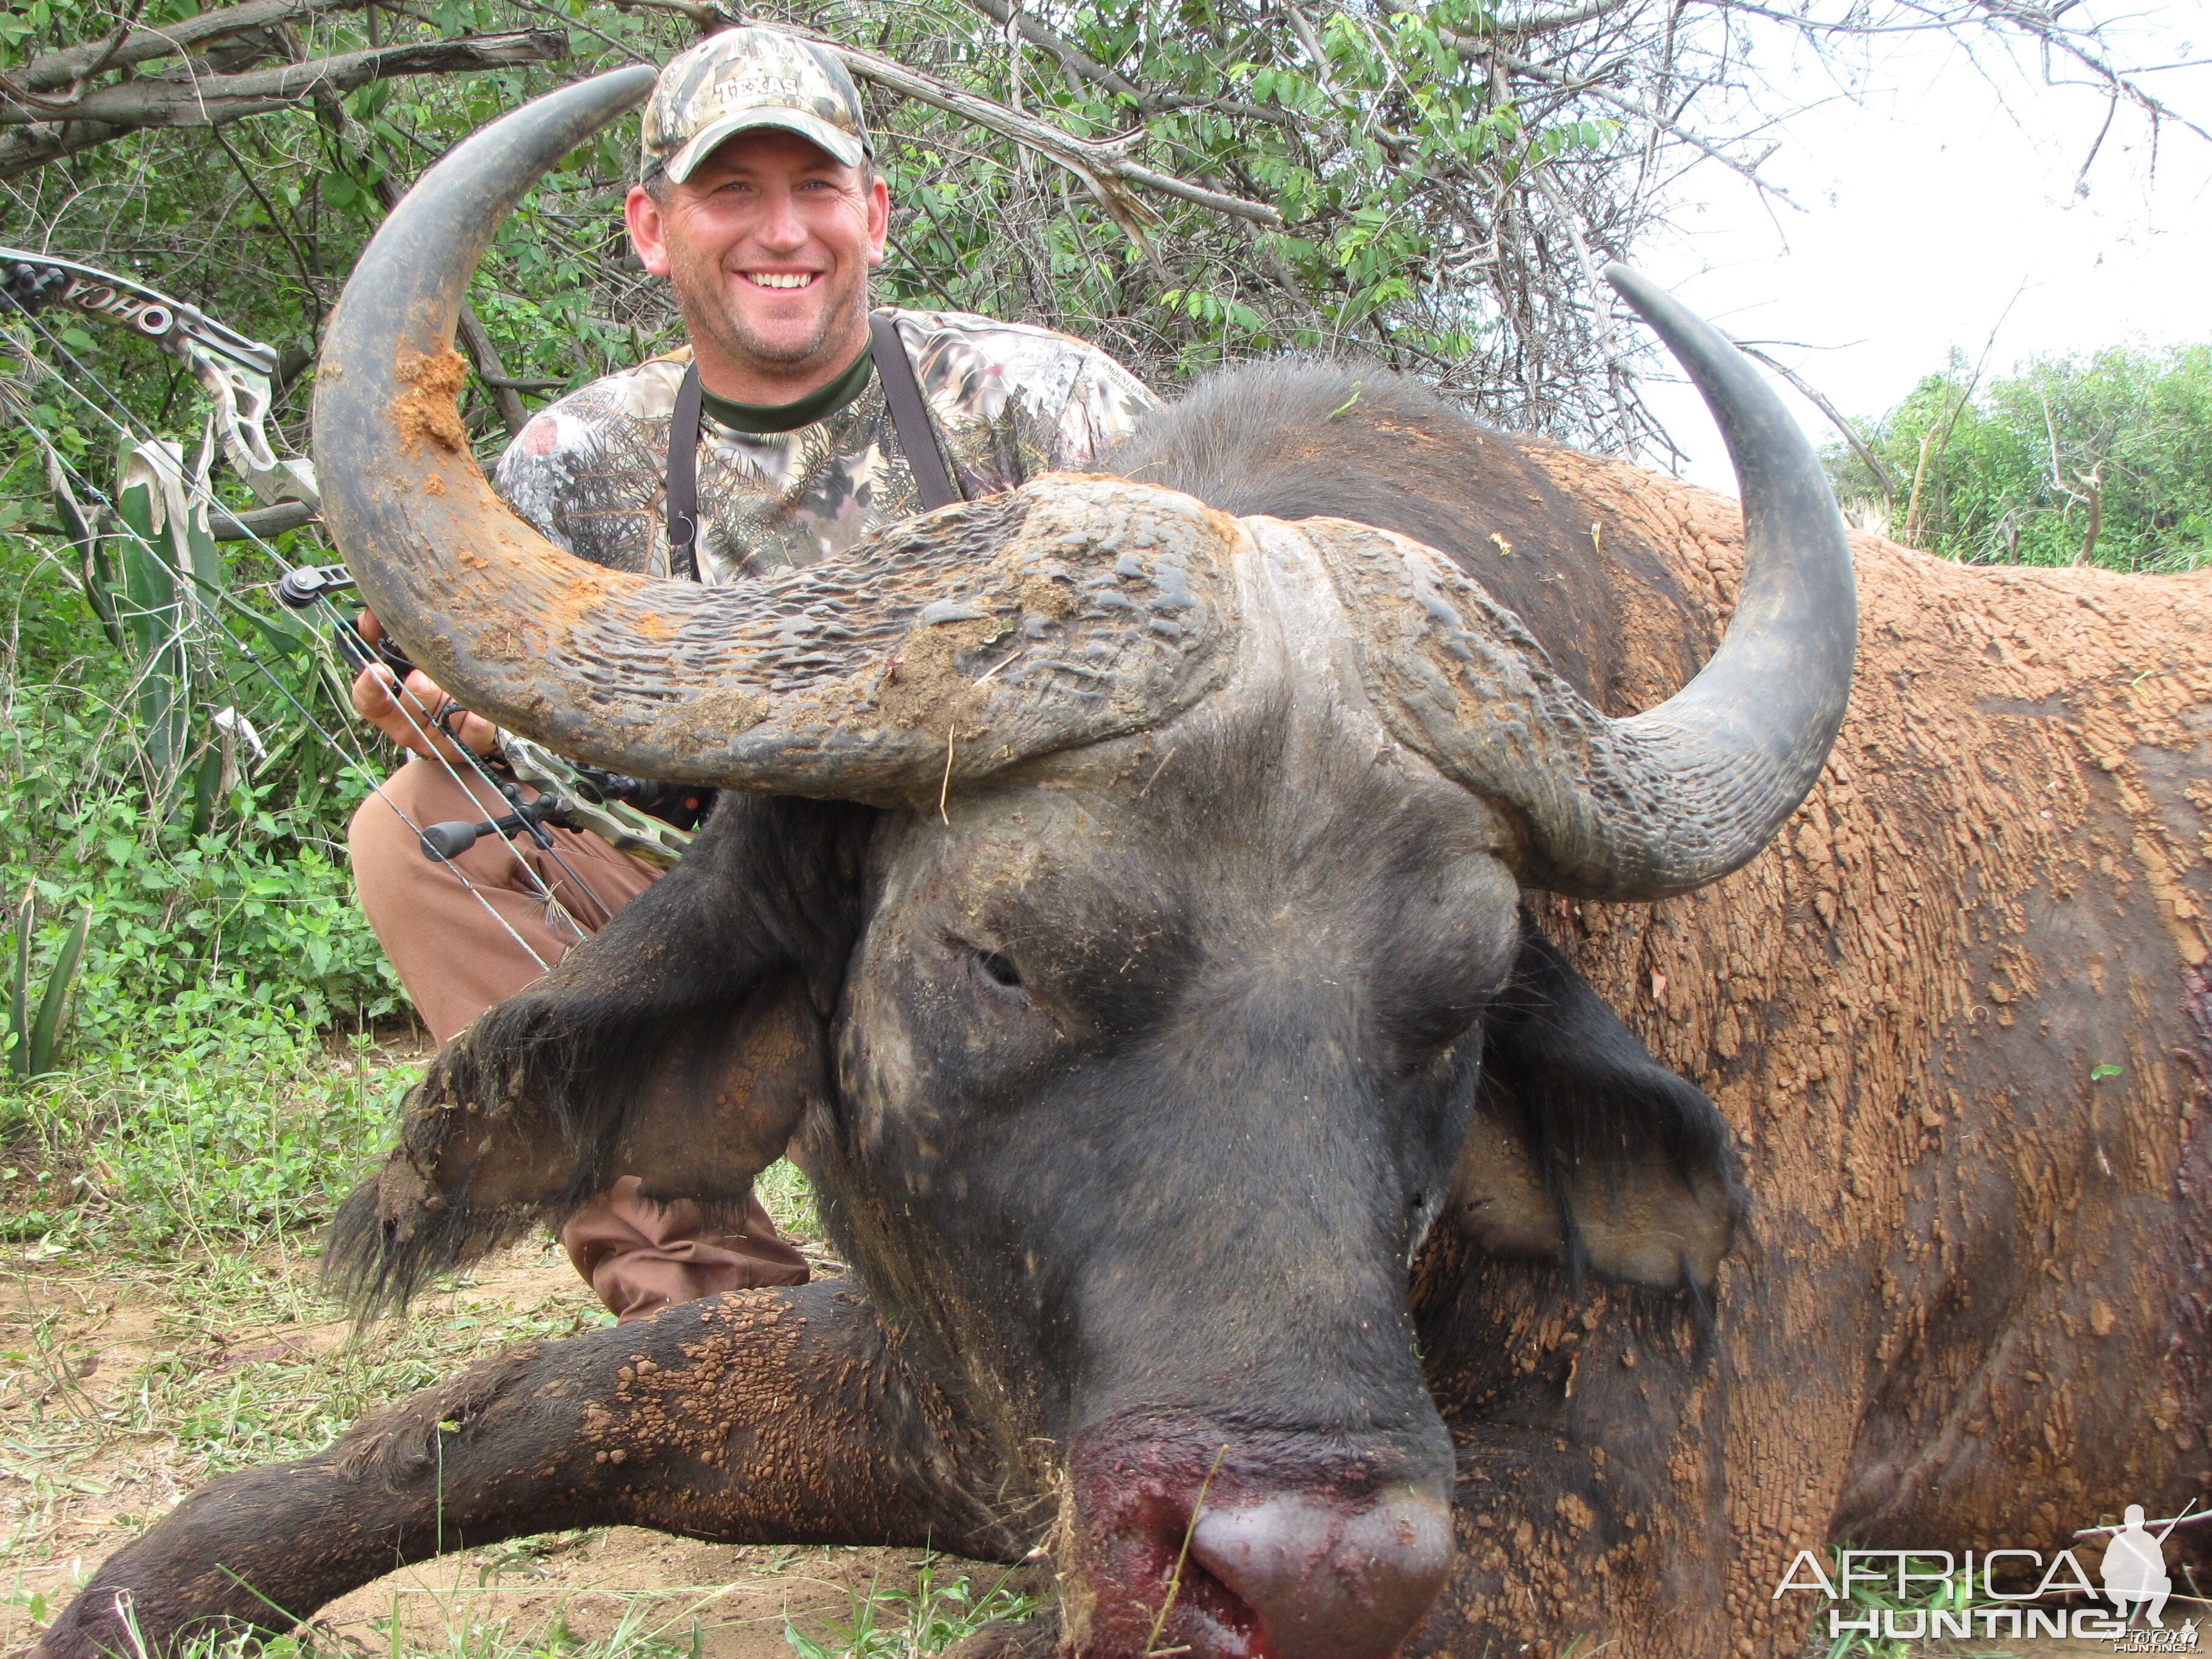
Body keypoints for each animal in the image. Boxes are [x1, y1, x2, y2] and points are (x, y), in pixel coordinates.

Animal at [39, 58, 2212, 1659]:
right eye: (1003, 958)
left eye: (1458, 1003)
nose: (1307, 1566)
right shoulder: (951, 1386)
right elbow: (519, 1403)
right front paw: (128, 1593)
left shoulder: (1648, 1541)